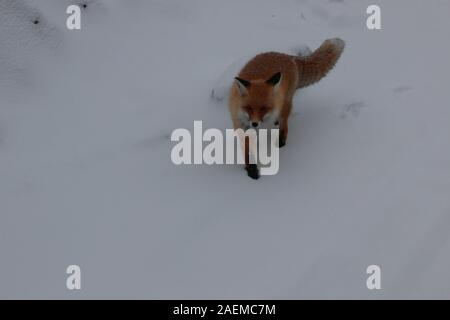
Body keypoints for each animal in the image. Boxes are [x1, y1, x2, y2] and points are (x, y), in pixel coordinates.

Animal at [229, 37, 344, 180]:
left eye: (264, 108)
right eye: (248, 108)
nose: (255, 123)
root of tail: (289, 57)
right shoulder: (240, 124)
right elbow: (246, 151)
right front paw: (251, 169)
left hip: (285, 104)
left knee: (285, 125)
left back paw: (281, 141)